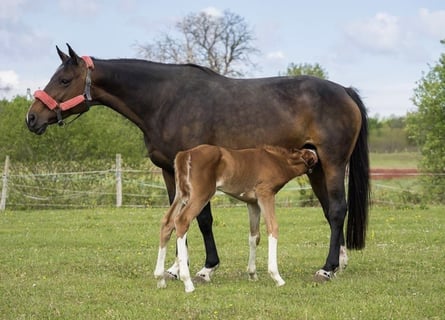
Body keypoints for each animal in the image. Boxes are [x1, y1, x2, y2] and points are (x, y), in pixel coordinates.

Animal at [153, 145, 316, 292]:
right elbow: (273, 228)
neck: (277, 160)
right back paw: (187, 283)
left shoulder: (252, 203)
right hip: (200, 194)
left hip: (181, 195)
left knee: (167, 222)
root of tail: (185, 154)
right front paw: (276, 277)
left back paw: (160, 278)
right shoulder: (265, 194)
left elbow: (254, 236)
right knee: (182, 221)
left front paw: (252, 274)